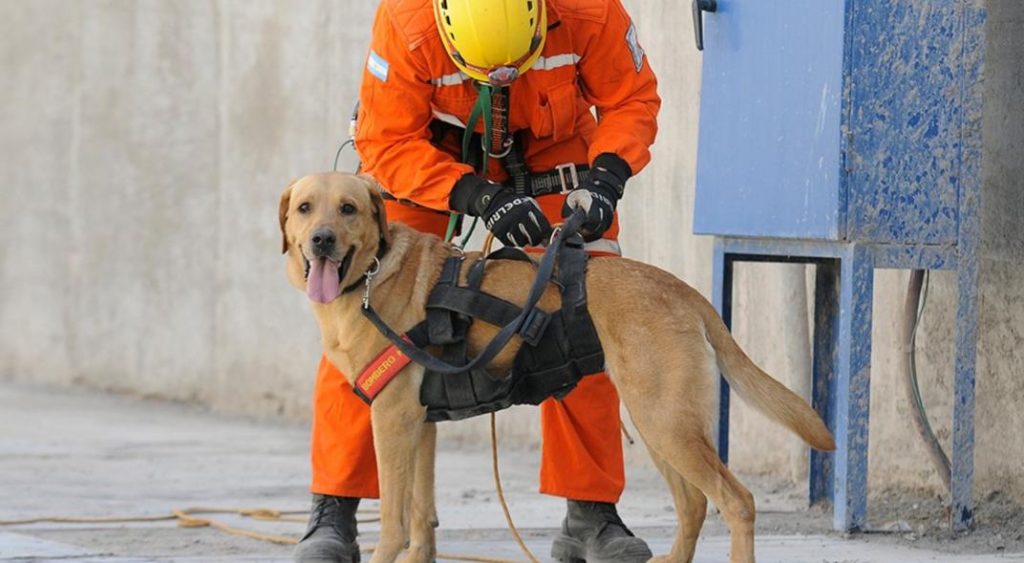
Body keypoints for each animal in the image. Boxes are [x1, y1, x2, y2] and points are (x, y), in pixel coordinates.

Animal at [278, 172, 831, 563]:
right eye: (305, 208)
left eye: (348, 208)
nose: (321, 240)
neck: (372, 275)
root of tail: (681, 289)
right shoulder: (421, 427)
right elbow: (422, 517)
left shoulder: (392, 421)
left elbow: (394, 520)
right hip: (660, 423)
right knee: (694, 503)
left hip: (666, 423)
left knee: (736, 501)